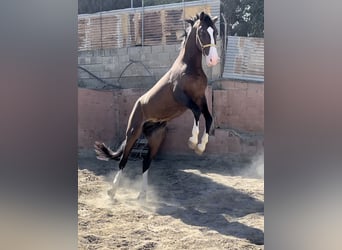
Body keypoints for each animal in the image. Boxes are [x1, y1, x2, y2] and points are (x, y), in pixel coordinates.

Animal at [94, 11, 219, 200]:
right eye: (203, 32)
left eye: (216, 32)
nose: (213, 60)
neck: (189, 68)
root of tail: (137, 104)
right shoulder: (183, 98)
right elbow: (197, 113)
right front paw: (192, 141)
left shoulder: (200, 98)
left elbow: (209, 118)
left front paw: (200, 147)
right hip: (133, 133)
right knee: (123, 160)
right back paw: (112, 191)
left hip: (156, 137)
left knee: (146, 162)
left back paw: (142, 195)